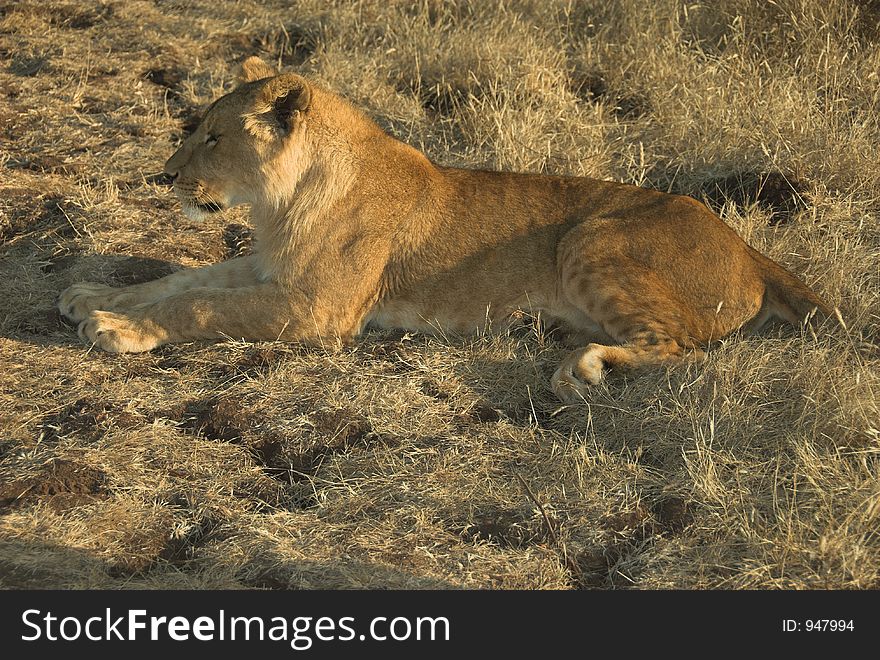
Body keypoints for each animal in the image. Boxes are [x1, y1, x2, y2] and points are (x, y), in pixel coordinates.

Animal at [58, 55, 836, 402]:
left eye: (213, 138)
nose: (165, 176)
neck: (282, 202)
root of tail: (748, 249)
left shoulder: (319, 310)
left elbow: (199, 304)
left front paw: (117, 328)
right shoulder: (269, 269)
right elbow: (181, 277)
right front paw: (95, 296)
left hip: (591, 239)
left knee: (684, 351)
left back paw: (583, 366)